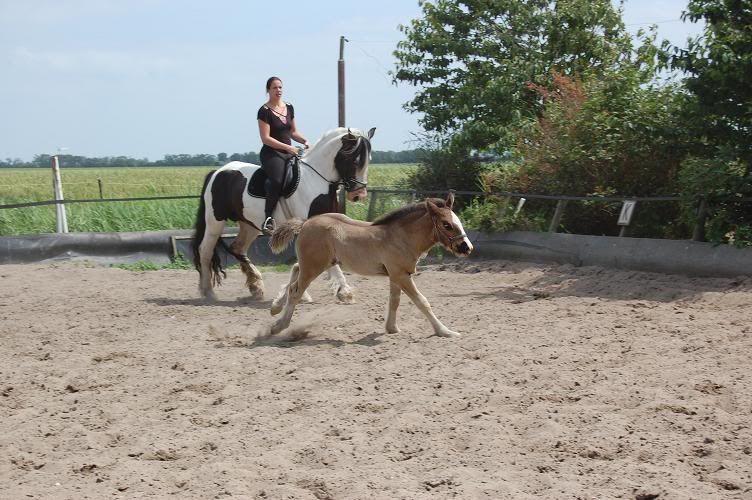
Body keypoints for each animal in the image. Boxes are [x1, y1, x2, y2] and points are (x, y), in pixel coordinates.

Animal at [192, 127, 375, 301]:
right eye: (355, 160)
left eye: (369, 160)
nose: (359, 195)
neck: (317, 181)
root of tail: (218, 172)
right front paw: (343, 292)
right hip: (215, 221)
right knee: (205, 250)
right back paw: (208, 292)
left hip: (249, 224)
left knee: (238, 248)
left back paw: (256, 286)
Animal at [268, 192, 474, 338]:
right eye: (446, 224)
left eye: (458, 221)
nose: (467, 247)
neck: (401, 237)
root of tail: (305, 223)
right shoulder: (401, 275)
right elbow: (422, 301)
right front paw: (445, 331)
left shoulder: (396, 275)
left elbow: (395, 301)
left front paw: (392, 328)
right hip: (313, 267)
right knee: (295, 291)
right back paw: (278, 326)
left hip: (316, 264)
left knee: (295, 270)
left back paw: (275, 307)